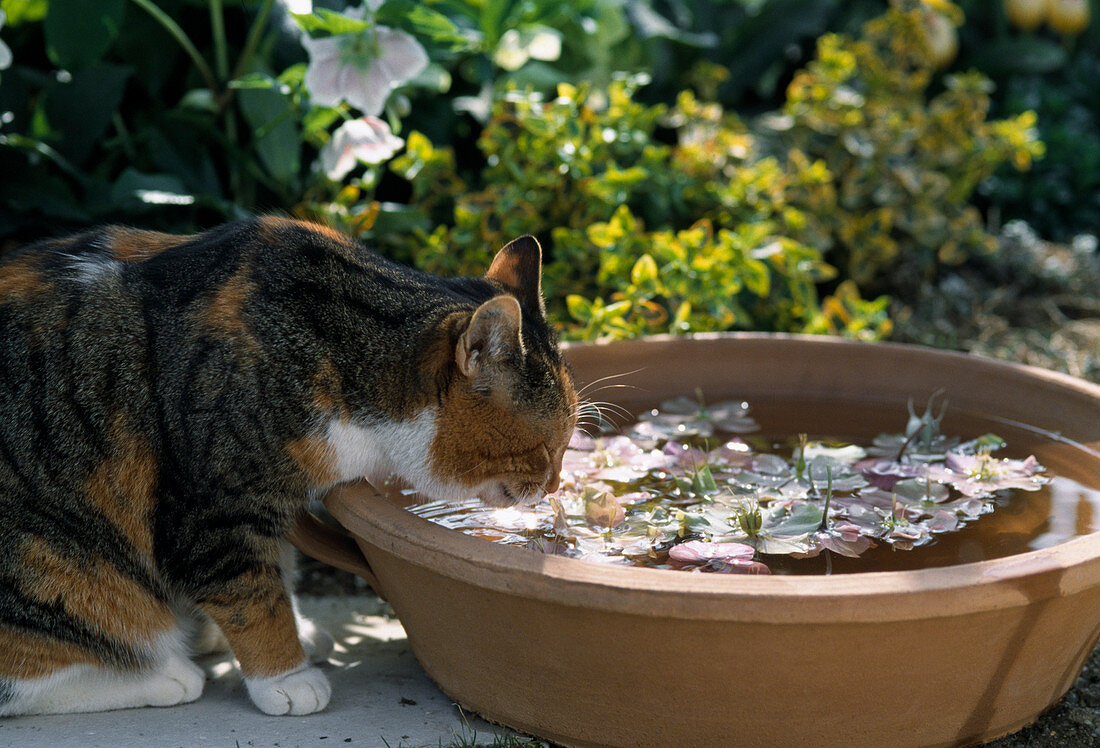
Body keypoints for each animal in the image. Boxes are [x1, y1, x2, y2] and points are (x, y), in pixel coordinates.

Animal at [0, 214, 576, 712]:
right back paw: (165, 675)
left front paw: (297, 631)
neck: (332, 346)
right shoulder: (215, 506)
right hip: (54, 559)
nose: (554, 486)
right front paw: (286, 677)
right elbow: (253, 594)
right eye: (547, 449)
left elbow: (277, 569)